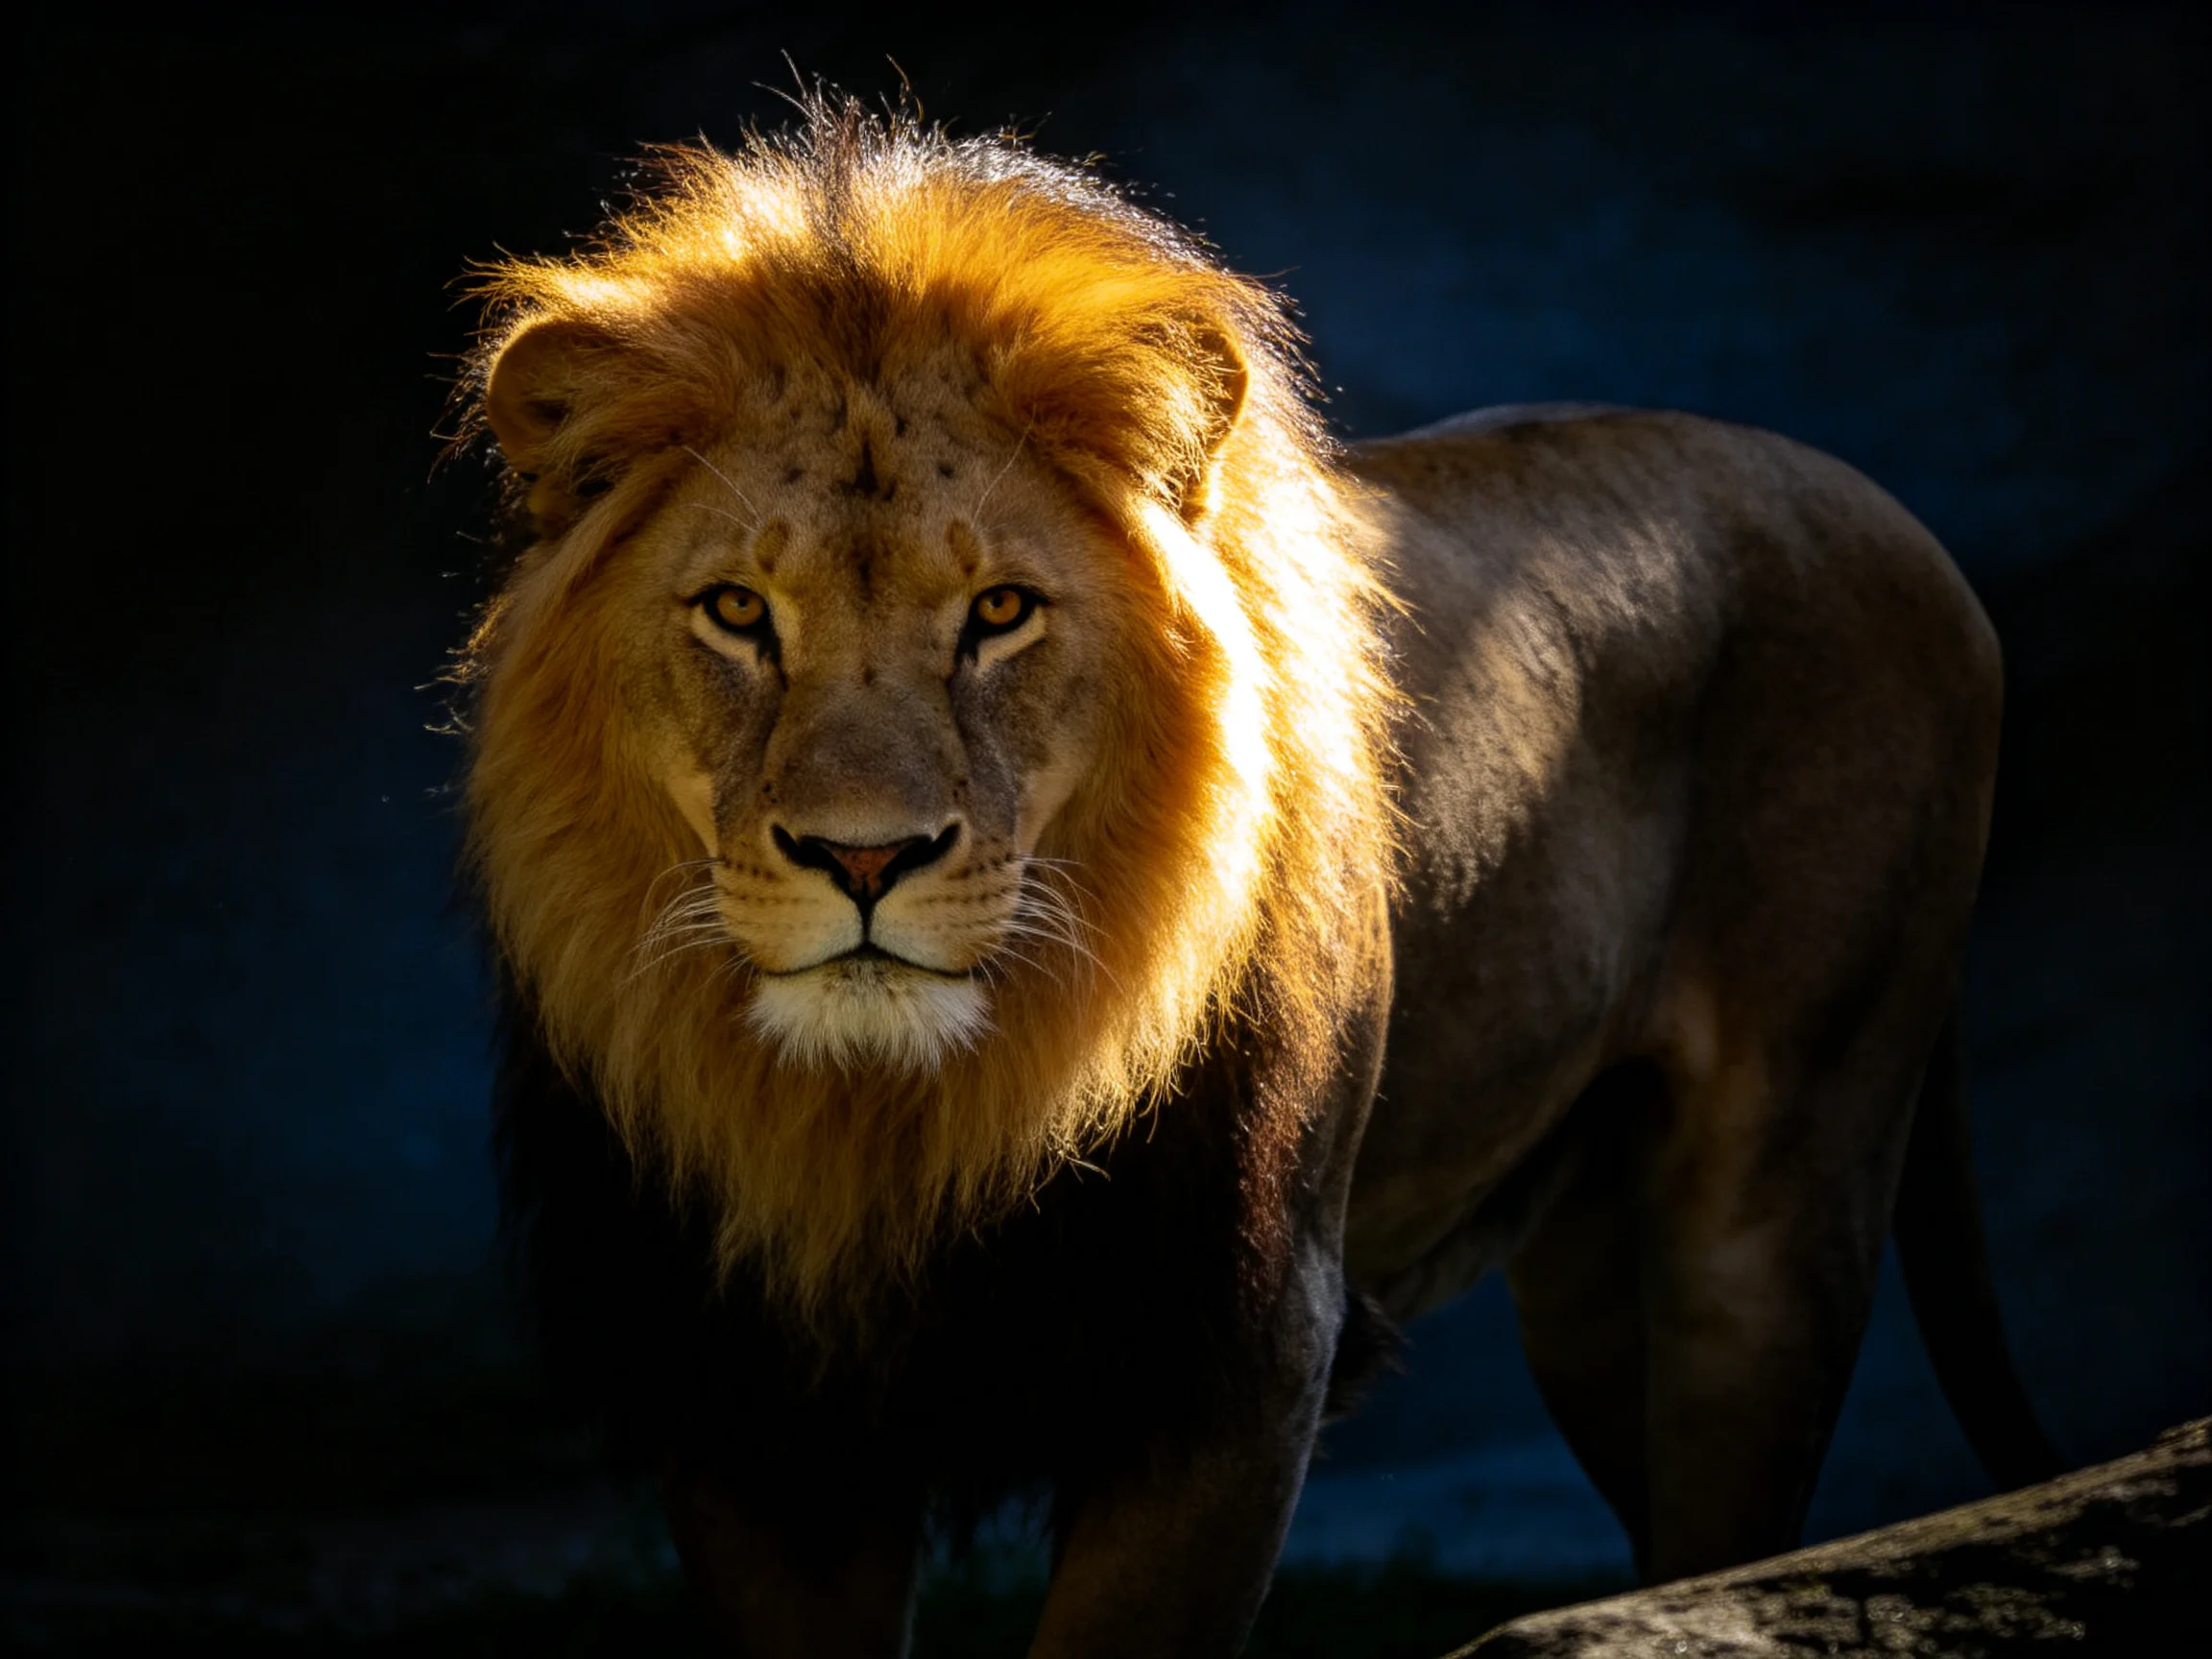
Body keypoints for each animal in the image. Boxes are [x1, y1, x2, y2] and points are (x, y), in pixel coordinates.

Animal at [460, 99, 2060, 1655]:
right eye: (738, 612)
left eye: (999, 612)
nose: (866, 855)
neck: (896, 1120)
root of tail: (1878, 502)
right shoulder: (742, 1410)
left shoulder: (1237, 1363)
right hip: (1595, 1278)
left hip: (1776, 1207)